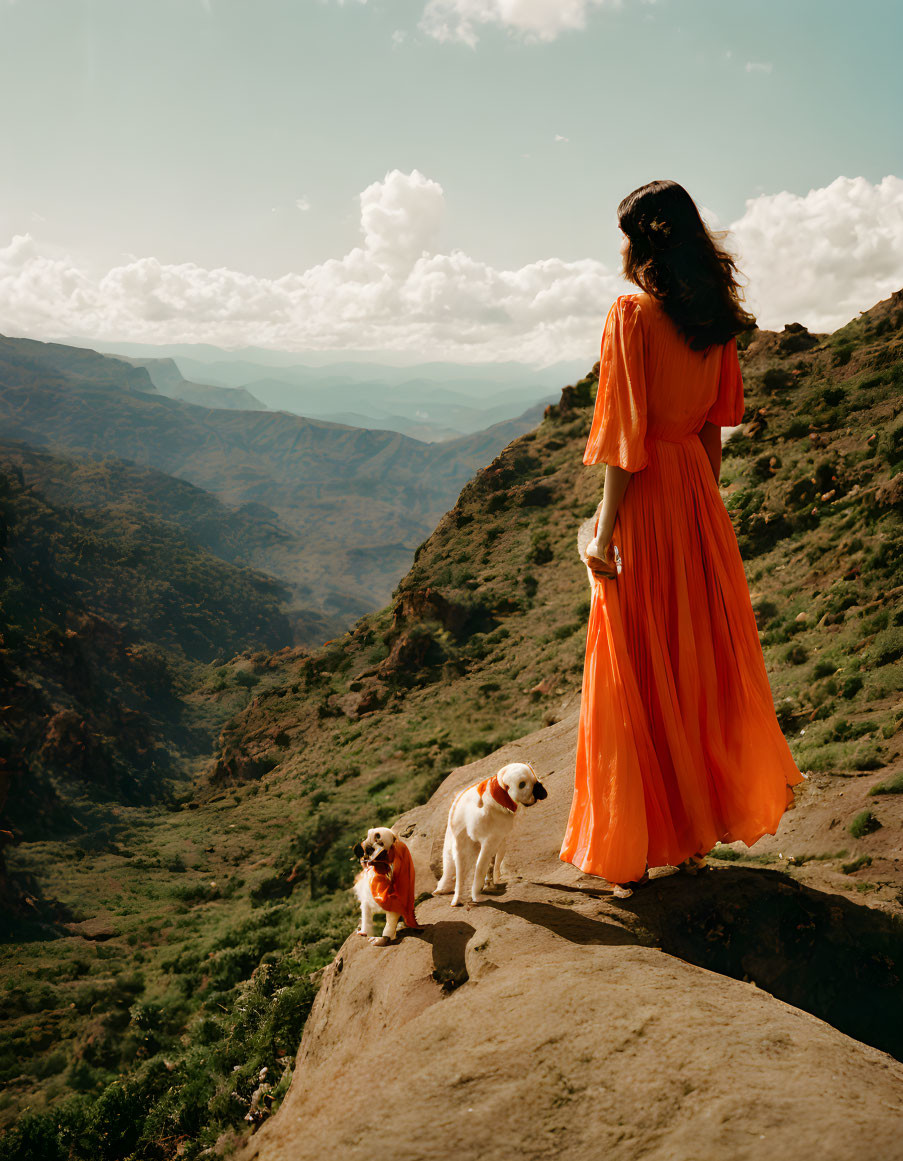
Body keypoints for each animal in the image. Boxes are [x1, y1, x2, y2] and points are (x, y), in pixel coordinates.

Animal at [431, 761, 545, 905]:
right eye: (522, 784)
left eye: (533, 779)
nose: (539, 787)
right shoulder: (487, 838)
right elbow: (481, 865)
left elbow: (484, 864)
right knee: (461, 861)